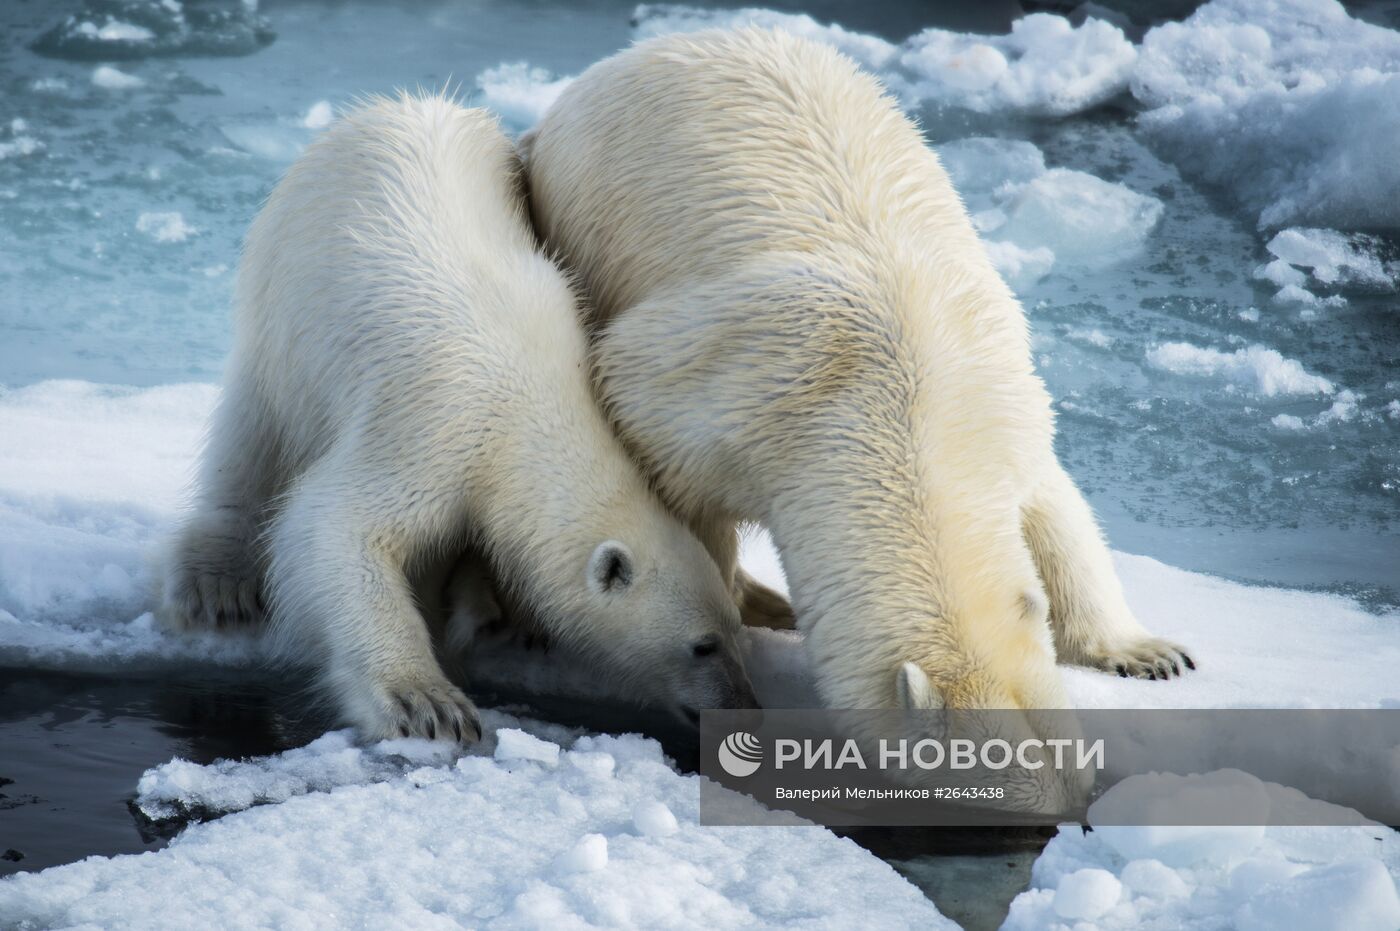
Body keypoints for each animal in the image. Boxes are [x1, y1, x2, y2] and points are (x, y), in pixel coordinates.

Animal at [169, 91, 761, 739]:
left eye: (735, 632)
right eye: (702, 645)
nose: (747, 706)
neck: (531, 402)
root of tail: (395, 105)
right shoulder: (436, 427)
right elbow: (335, 525)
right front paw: (427, 700)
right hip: (284, 295)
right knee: (254, 433)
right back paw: (217, 584)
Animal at [526, 27, 1192, 711]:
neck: (904, 407)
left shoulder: (1003, 402)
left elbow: (1057, 509)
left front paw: (1148, 654)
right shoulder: (700, 395)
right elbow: (683, 514)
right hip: (585, 216)